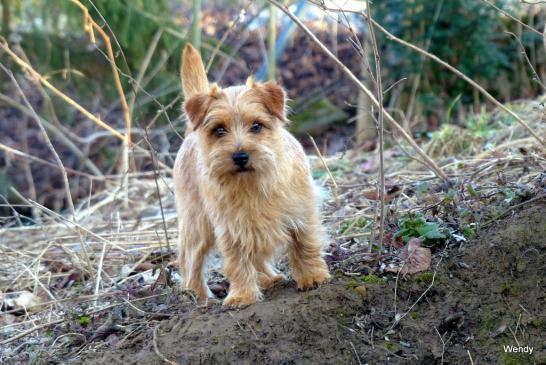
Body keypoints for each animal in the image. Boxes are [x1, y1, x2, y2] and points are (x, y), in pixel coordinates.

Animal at [173, 42, 328, 306]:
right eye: (219, 130)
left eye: (256, 126)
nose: (240, 156)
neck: (254, 184)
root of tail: (190, 133)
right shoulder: (231, 229)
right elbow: (237, 262)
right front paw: (242, 296)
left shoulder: (302, 211)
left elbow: (306, 244)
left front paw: (313, 276)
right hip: (197, 224)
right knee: (190, 259)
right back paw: (198, 296)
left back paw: (269, 278)